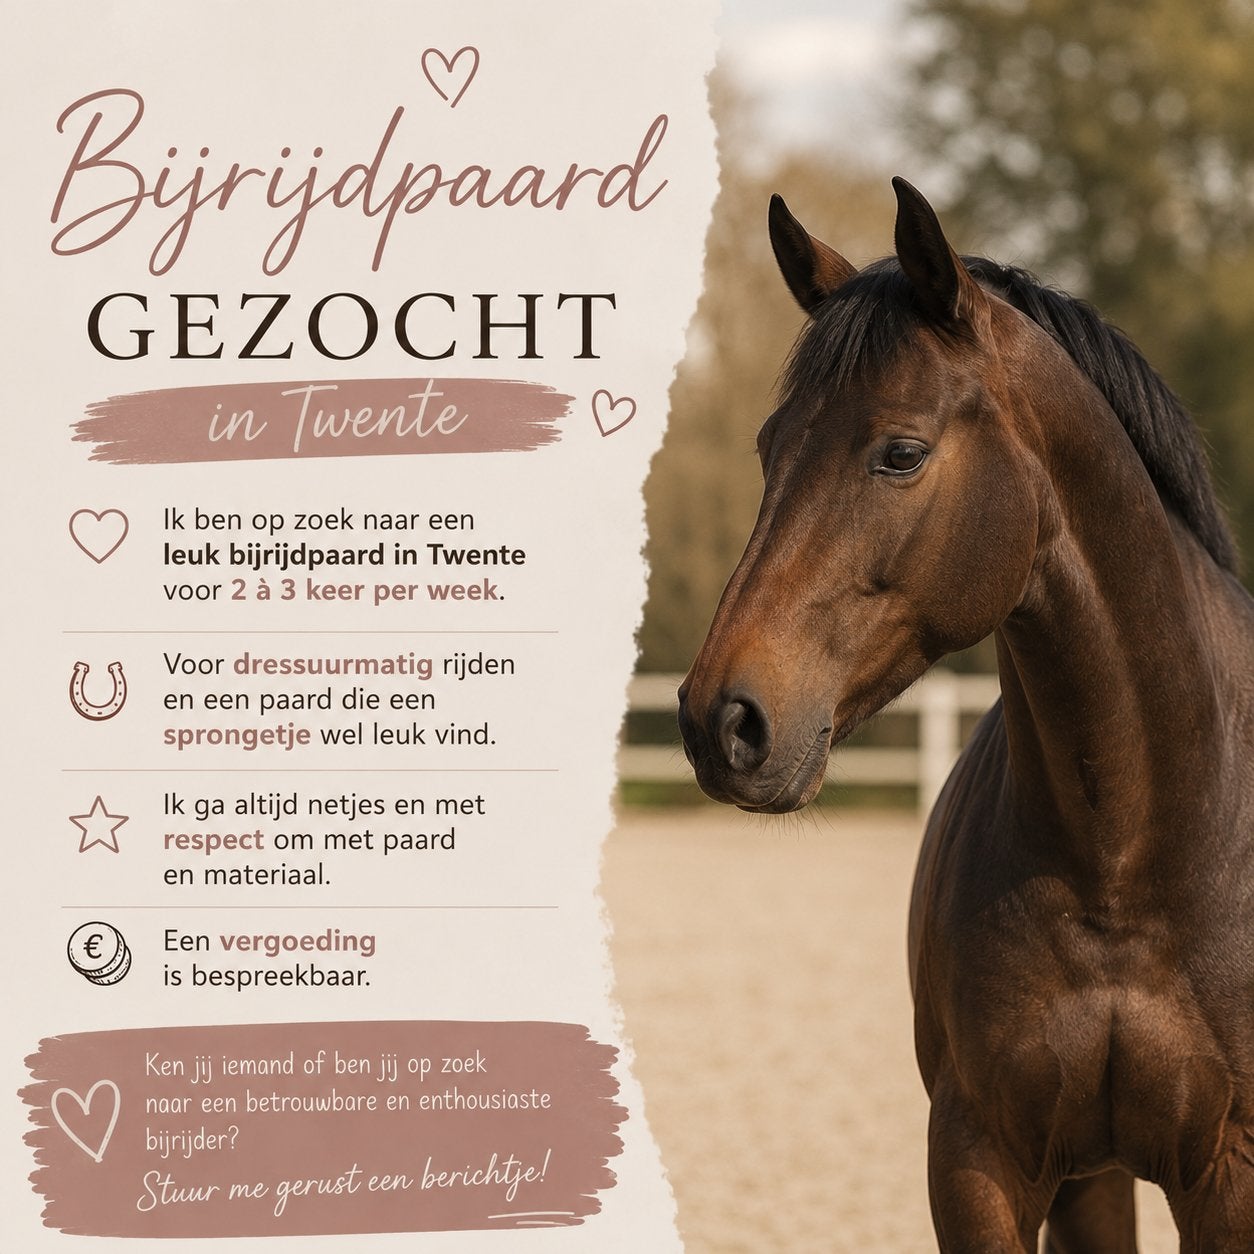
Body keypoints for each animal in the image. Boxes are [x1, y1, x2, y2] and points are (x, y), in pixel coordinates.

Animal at [677, 177, 1254, 1252]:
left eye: (902, 453)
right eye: (770, 447)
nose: (718, 721)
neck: (1126, 859)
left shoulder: (1229, 1176)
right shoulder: (981, 1161)